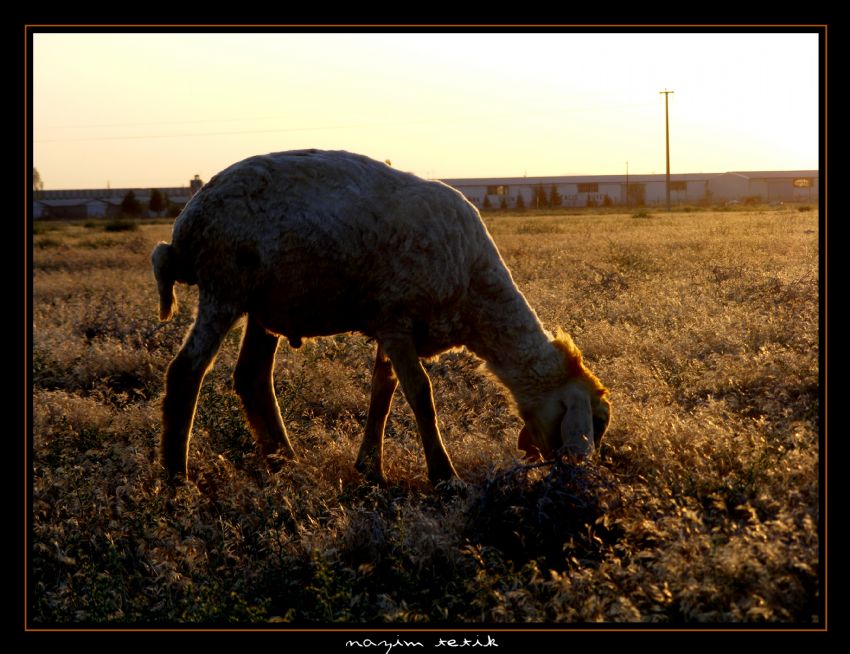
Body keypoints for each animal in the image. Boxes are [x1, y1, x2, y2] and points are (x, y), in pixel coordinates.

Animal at [152, 150, 608, 486]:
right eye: (597, 422)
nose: (572, 477)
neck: (477, 297)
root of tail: (183, 228)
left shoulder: (392, 324)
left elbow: (383, 392)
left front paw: (371, 468)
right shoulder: (396, 319)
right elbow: (421, 395)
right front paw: (445, 477)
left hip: (265, 304)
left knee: (252, 376)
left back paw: (286, 462)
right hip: (224, 285)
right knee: (185, 372)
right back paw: (178, 480)